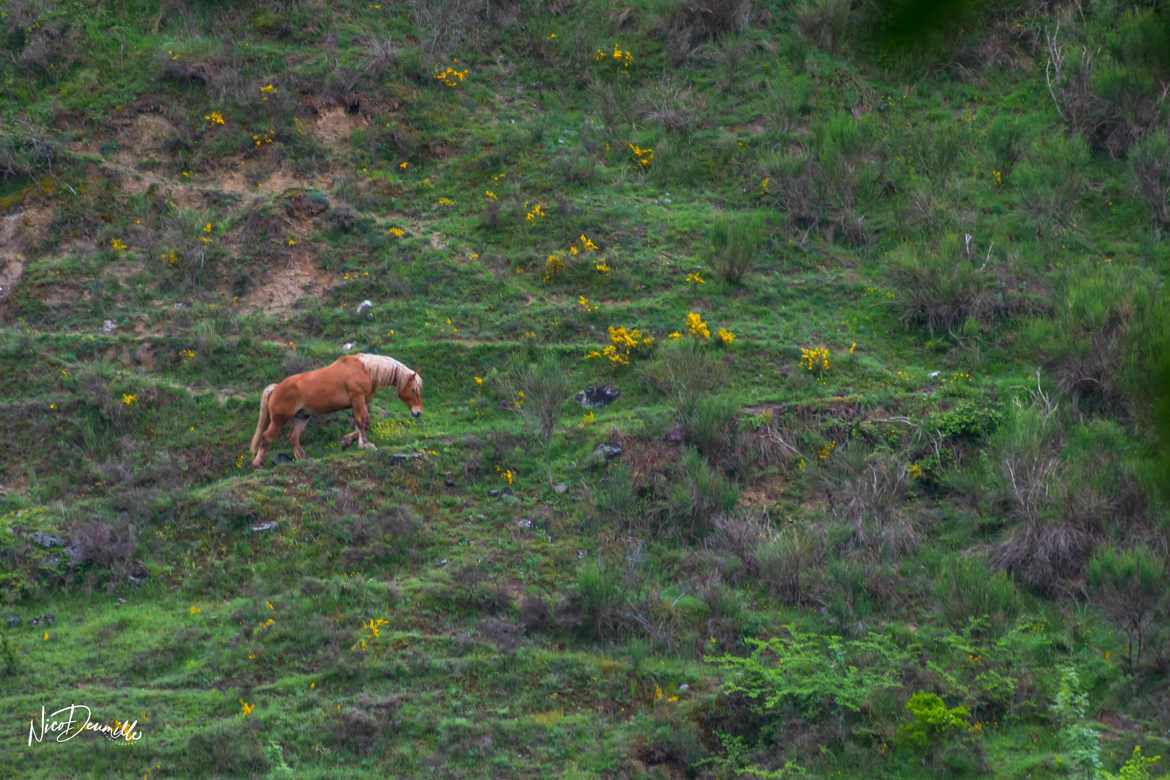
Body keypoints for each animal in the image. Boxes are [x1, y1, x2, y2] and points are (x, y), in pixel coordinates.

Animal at [249, 355, 423, 470]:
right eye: (413, 389)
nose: (418, 412)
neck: (365, 369)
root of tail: (276, 388)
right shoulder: (357, 398)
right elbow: (362, 422)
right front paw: (366, 445)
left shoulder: (359, 402)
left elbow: (362, 423)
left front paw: (347, 441)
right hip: (279, 419)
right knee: (266, 437)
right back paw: (258, 464)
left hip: (302, 417)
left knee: (293, 437)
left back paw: (304, 459)